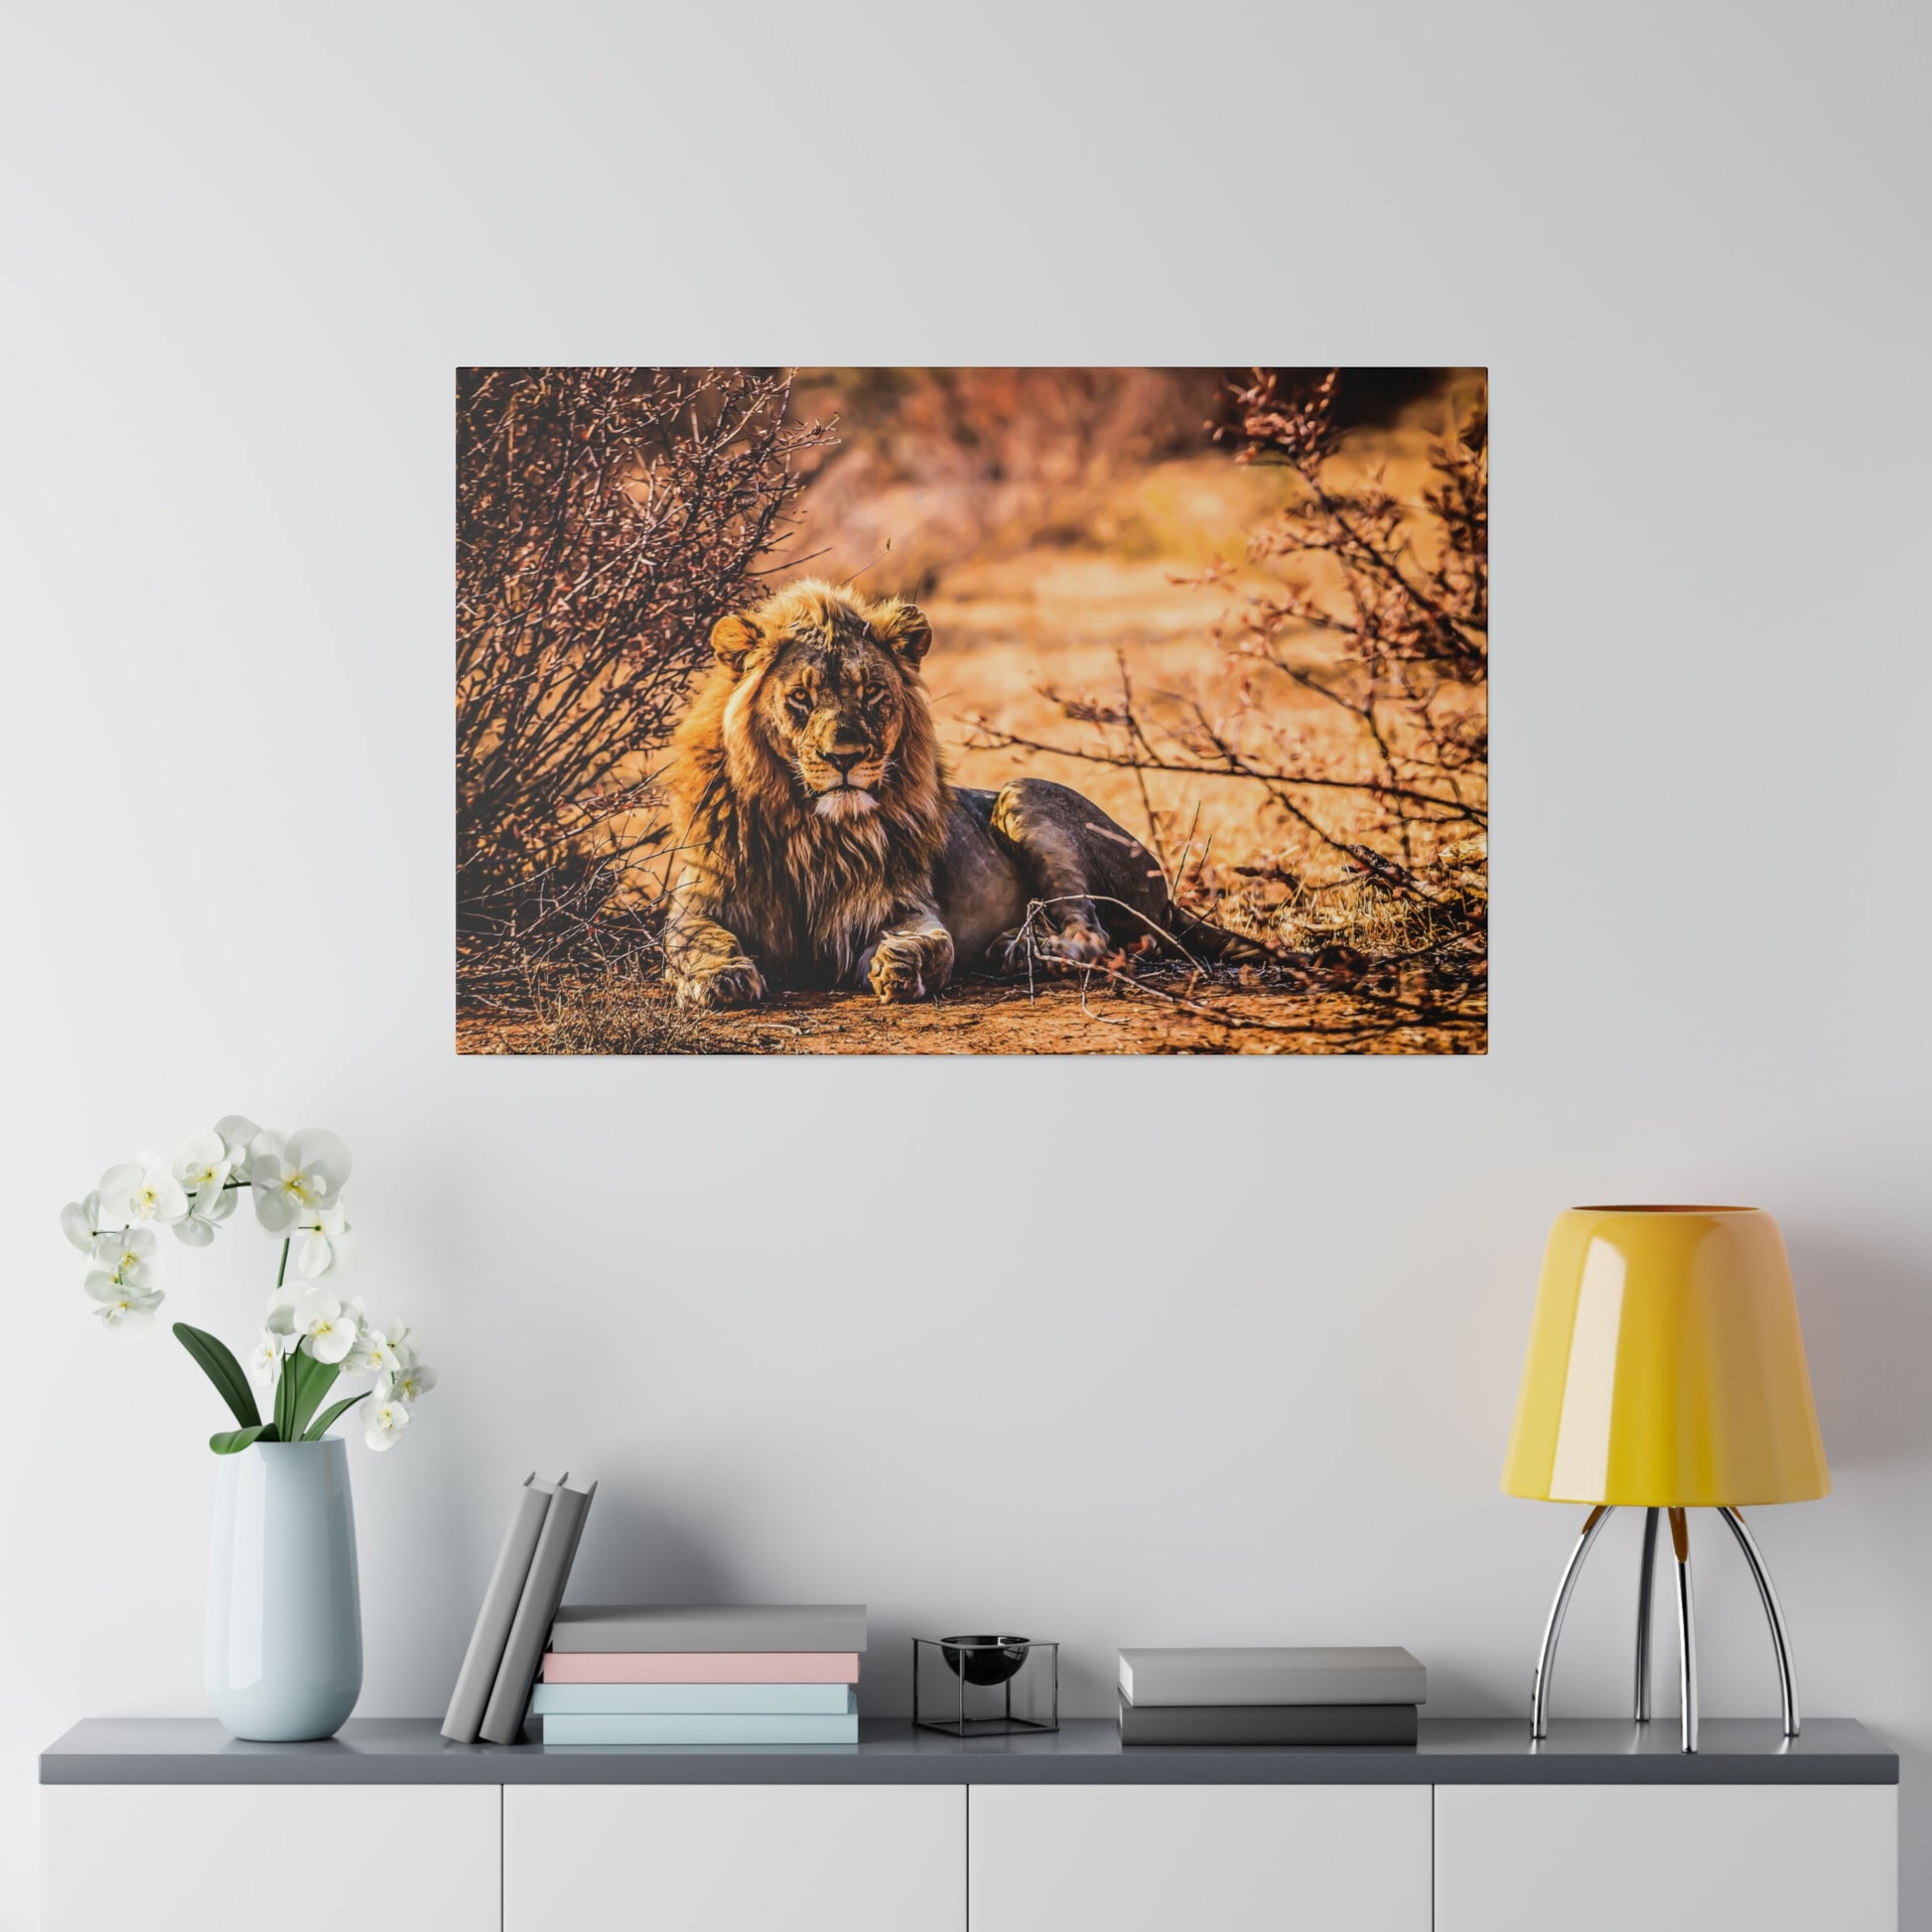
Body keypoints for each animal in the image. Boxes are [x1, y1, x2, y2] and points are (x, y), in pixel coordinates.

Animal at [664, 575, 1252, 1012]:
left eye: (871, 692)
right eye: (801, 698)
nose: (845, 757)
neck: (812, 828)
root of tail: (1167, 895)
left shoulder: (899, 904)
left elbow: (936, 943)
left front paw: (902, 965)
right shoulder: (697, 900)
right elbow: (694, 940)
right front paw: (721, 977)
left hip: (1023, 796)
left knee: (1093, 937)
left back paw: (1018, 951)